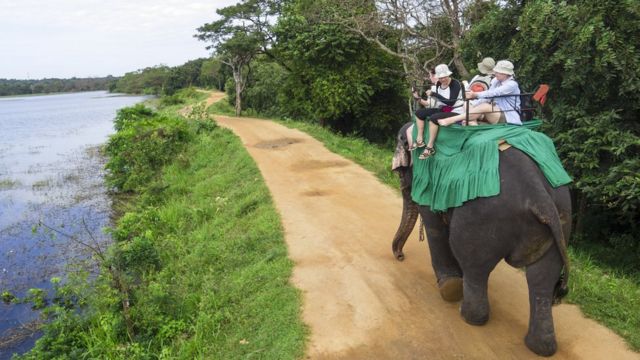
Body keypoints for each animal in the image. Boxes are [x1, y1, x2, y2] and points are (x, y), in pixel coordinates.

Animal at [392, 121, 572, 358]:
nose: (400, 256)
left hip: (482, 218)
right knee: (542, 278)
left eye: (401, 172)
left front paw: (450, 286)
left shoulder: (427, 182)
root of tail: (539, 195)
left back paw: (466, 313)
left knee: (474, 264)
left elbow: (435, 227)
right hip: (561, 221)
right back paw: (541, 347)